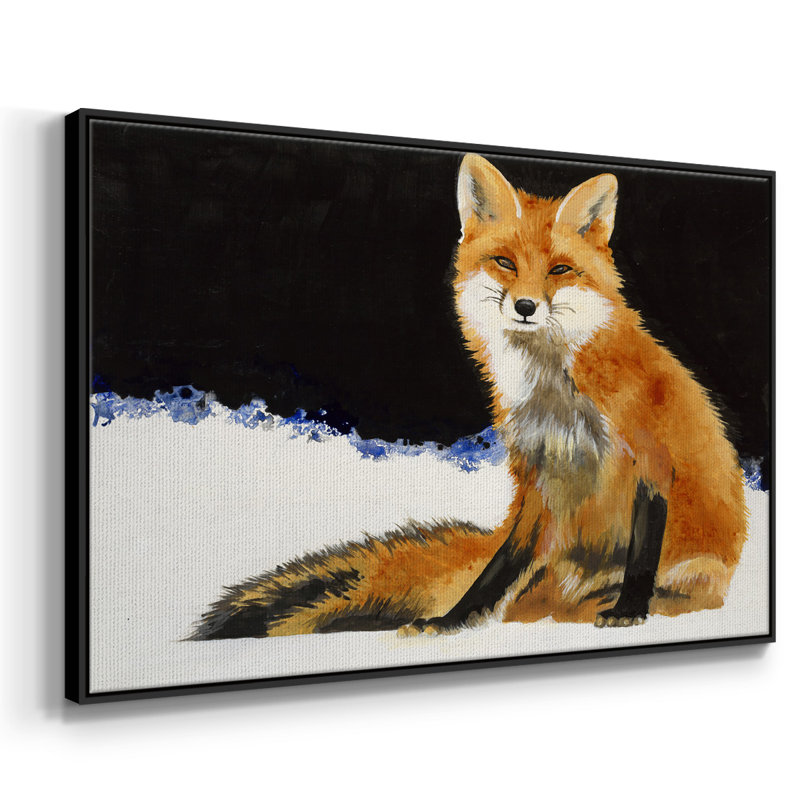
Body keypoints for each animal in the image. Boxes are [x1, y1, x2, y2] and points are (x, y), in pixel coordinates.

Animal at [189, 154, 747, 640]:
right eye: (504, 262)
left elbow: (641, 554)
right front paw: (455, 619)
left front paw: (630, 608)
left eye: (559, 270)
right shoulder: (536, 476)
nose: (525, 306)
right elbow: (498, 567)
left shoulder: (650, 458)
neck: (557, 394)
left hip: (695, 570)